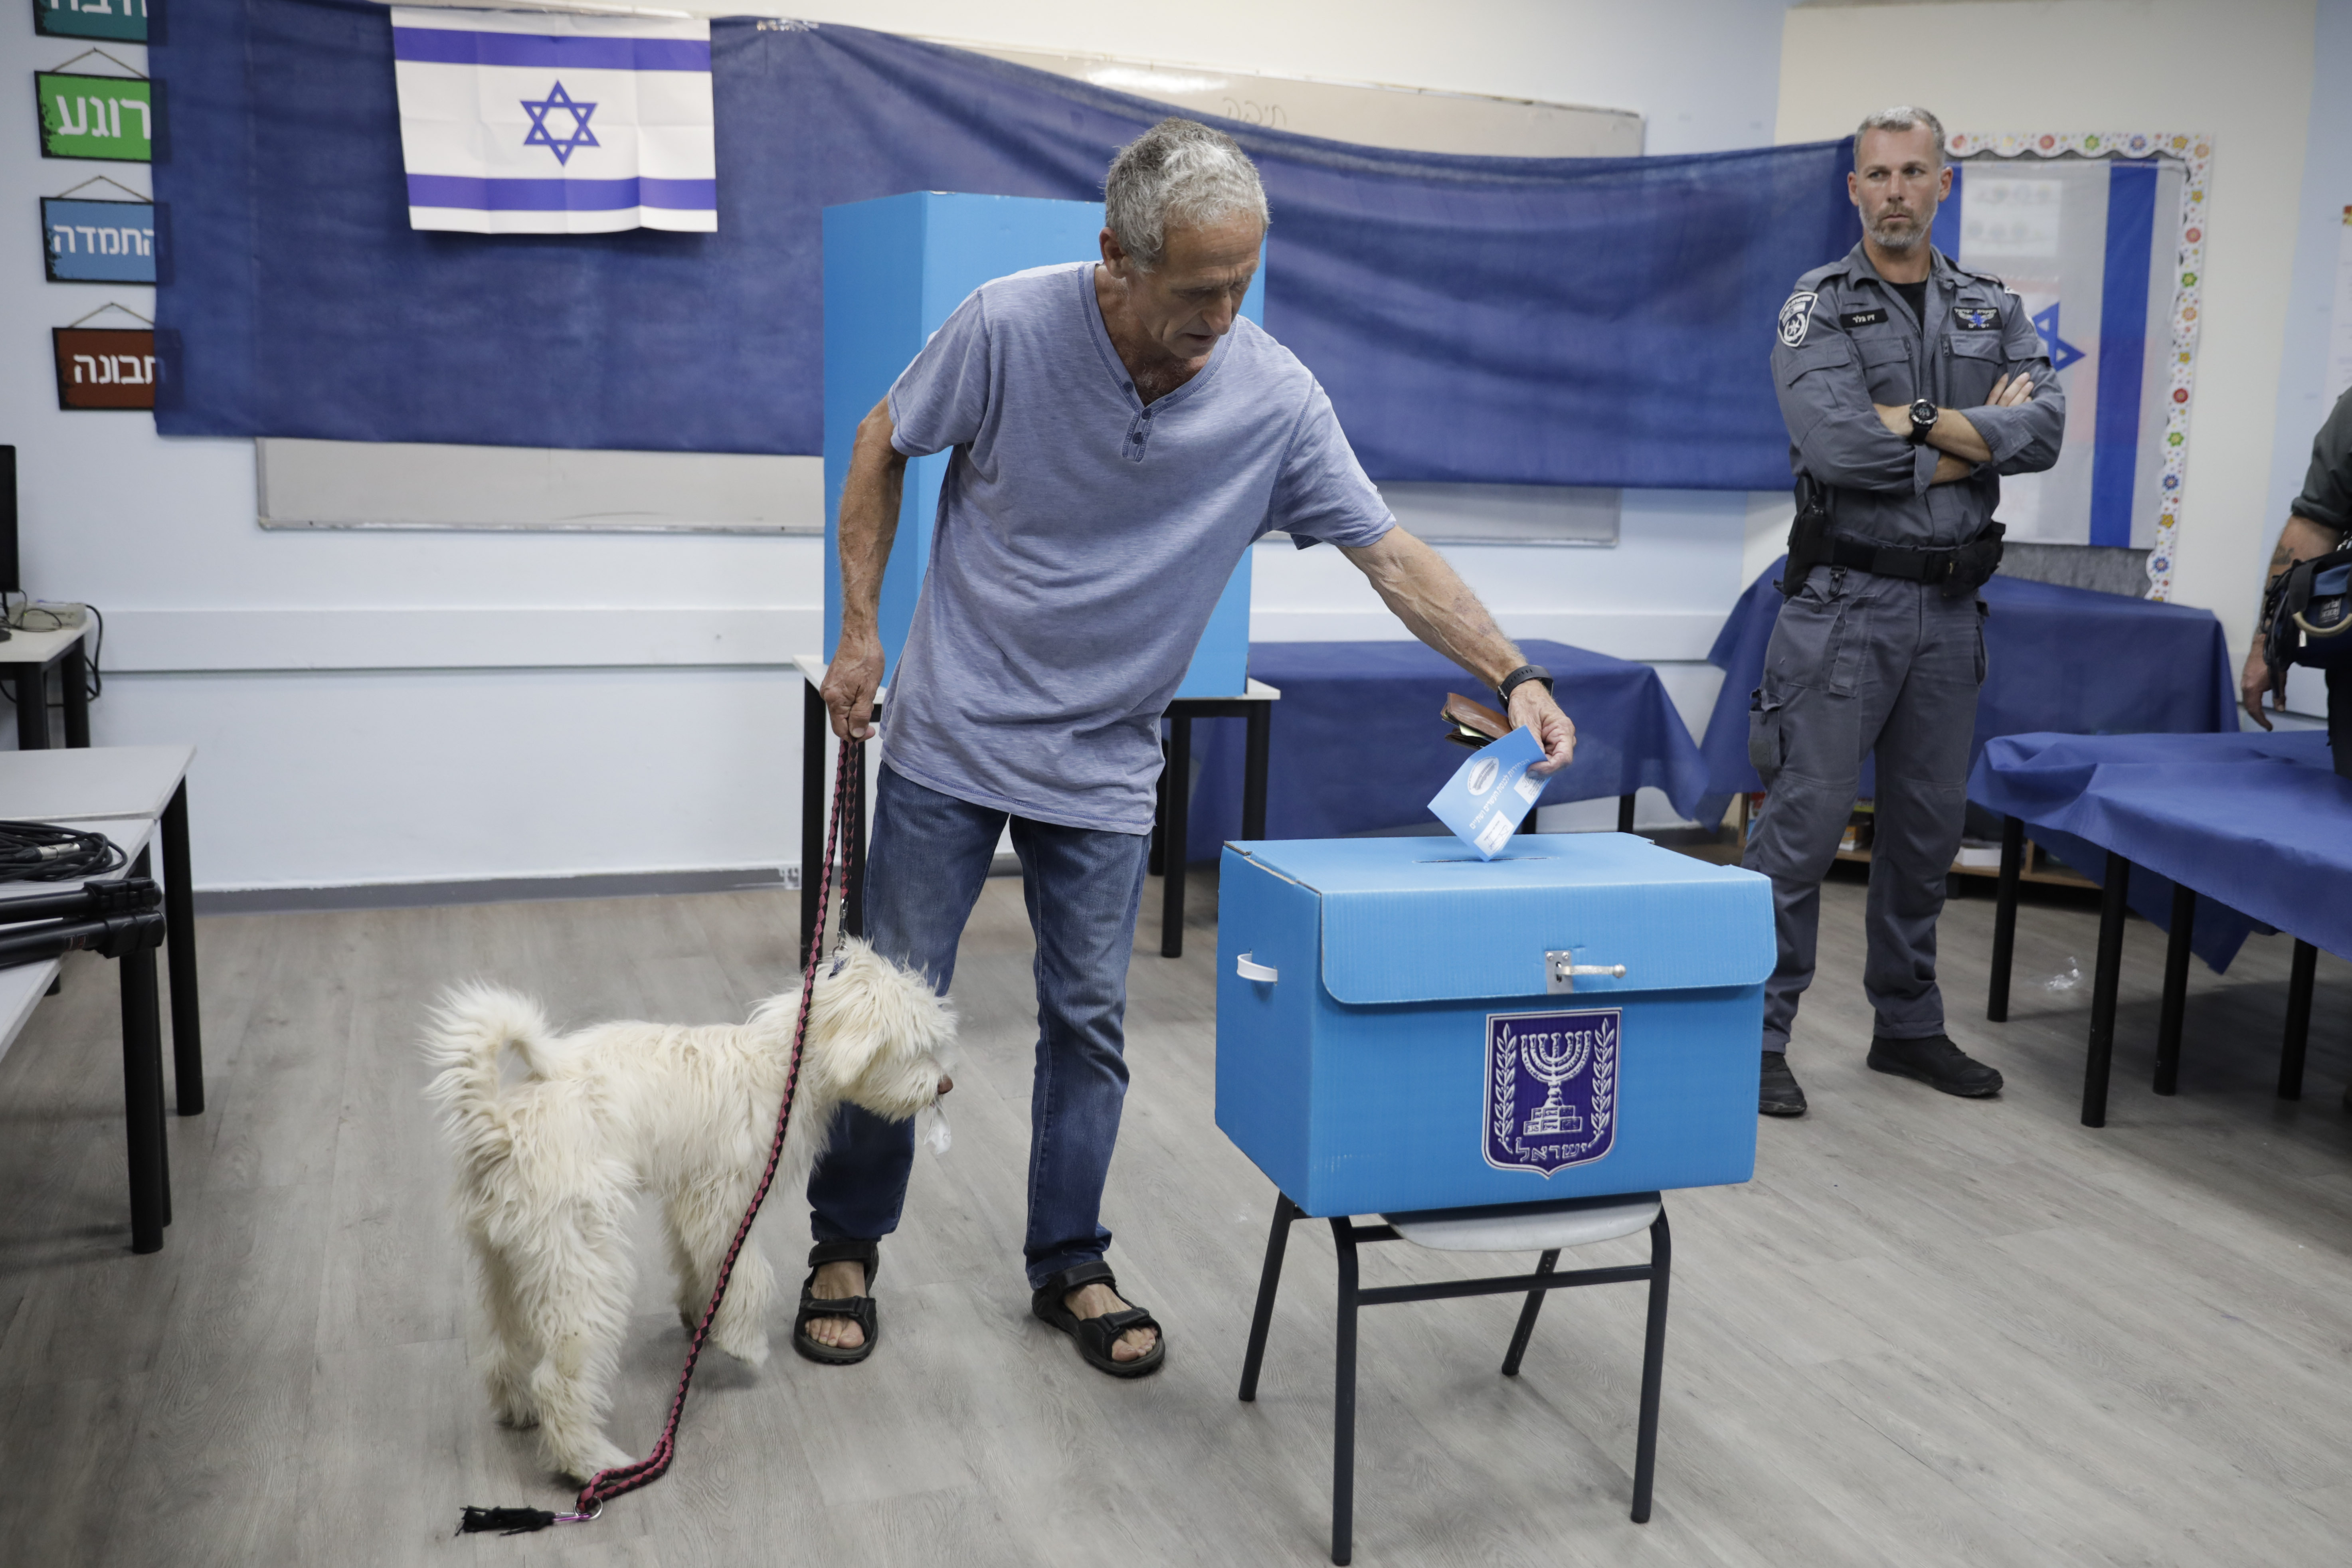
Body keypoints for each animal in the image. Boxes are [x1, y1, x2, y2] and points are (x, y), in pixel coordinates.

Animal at [418, 940, 950, 1495]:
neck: (783, 1064)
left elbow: (701, 1264)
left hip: (507, 1262)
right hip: (581, 1270)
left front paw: (704, 1316)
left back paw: (518, 1407)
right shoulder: (726, 1206)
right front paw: (743, 1343)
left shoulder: (691, 1200)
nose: (946, 1084)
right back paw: (591, 1461)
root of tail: (499, 1125)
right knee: (558, 1381)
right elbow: (748, 1275)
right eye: (918, 1046)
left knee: (502, 1345)